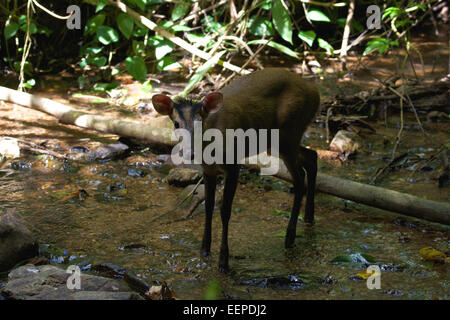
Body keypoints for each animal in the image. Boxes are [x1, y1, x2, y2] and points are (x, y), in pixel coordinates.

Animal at [153, 67, 322, 272]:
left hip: (289, 131)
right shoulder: (208, 170)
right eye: (176, 123)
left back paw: (290, 237)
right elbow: (208, 207)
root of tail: (315, 92)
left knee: (299, 179)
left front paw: (223, 261)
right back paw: (309, 217)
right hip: (281, 139)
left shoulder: (234, 165)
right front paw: (204, 250)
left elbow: (225, 211)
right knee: (311, 156)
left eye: (201, 122)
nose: (189, 153)